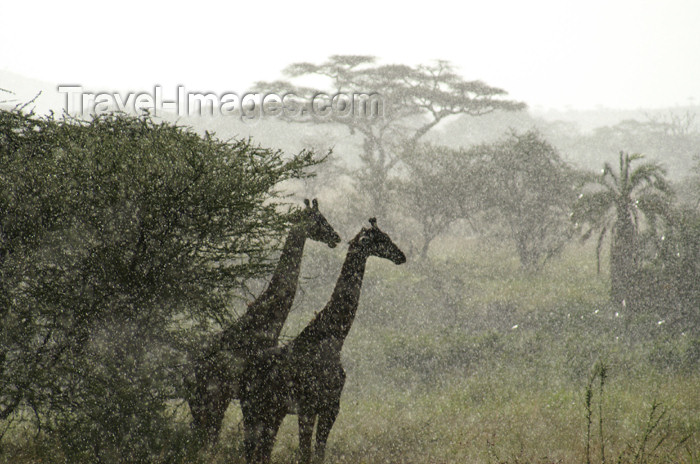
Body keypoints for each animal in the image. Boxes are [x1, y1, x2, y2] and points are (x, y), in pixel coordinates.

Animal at [185, 198, 340, 442]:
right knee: (207, 436)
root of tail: (187, 371)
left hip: (201, 401)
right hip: (213, 398)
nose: (336, 237)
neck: (267, 320)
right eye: (320, 219)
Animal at [239, 218, 404, 464]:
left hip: (273, 411)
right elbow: (305, 453)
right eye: (381, 239)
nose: (401, 256)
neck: (333, 341)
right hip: (252, 408)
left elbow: (319, 453)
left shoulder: (331, 407)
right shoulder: (308, 407)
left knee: (264, 451)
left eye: (387, 235)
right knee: (252, 450)